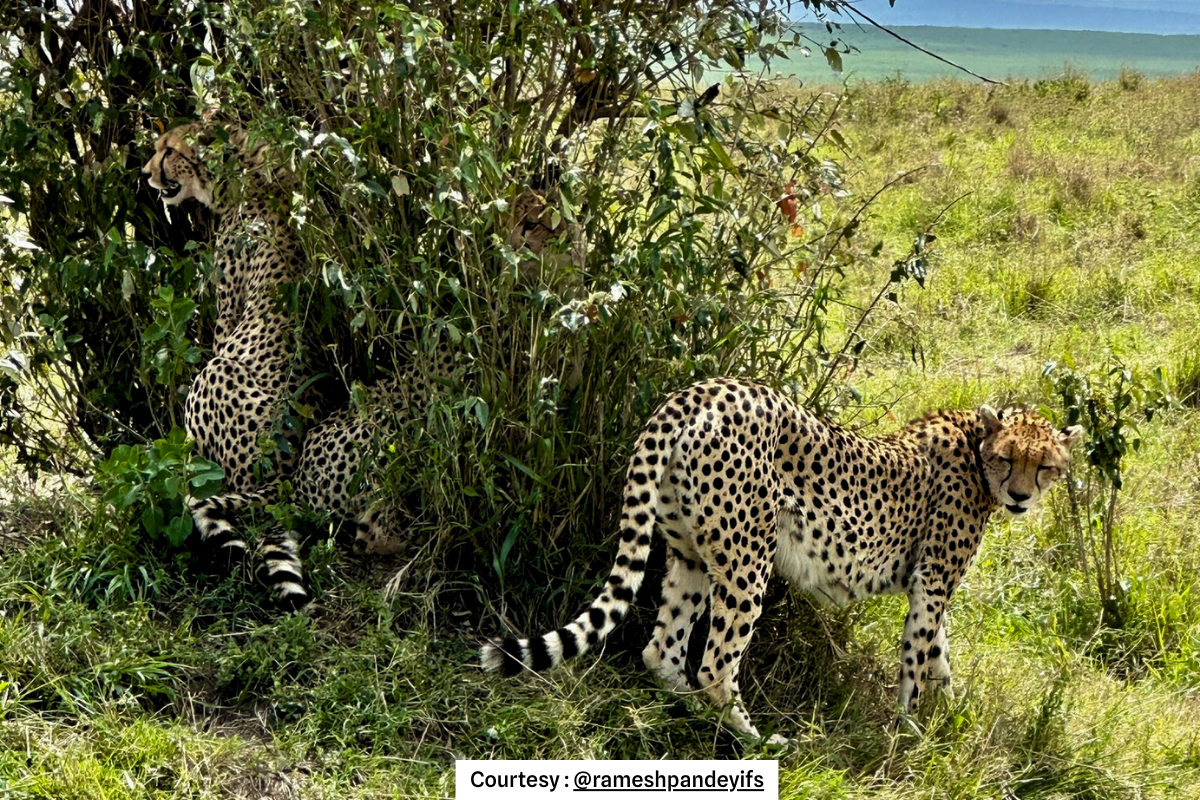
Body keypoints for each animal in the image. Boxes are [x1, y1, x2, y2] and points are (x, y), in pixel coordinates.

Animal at [482, 378, 1082, 741]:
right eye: (1008, 459)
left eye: (1044, 466)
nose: (1021, 497)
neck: (976, 452)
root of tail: (699, 390)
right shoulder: (931, 582)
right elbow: (917, 657)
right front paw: (909, 730)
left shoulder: (930, 586)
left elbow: (939, 654)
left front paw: (950, 716)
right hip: (749, 558)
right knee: (715, 662)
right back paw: (755, 740)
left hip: (690, 553)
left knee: (663, 648)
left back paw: (691, 712)